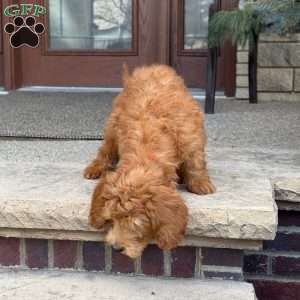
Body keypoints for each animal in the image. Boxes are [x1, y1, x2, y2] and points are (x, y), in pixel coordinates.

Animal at [84, 65, 216, 258]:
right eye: (112, 219)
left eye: (136, 224)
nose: (116, 248)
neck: (147, 151)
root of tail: (153, 67)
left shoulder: (190, 135)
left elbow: (196, 162)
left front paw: (201, 183)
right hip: (113, 124)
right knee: (106, 150)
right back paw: (95, 167)